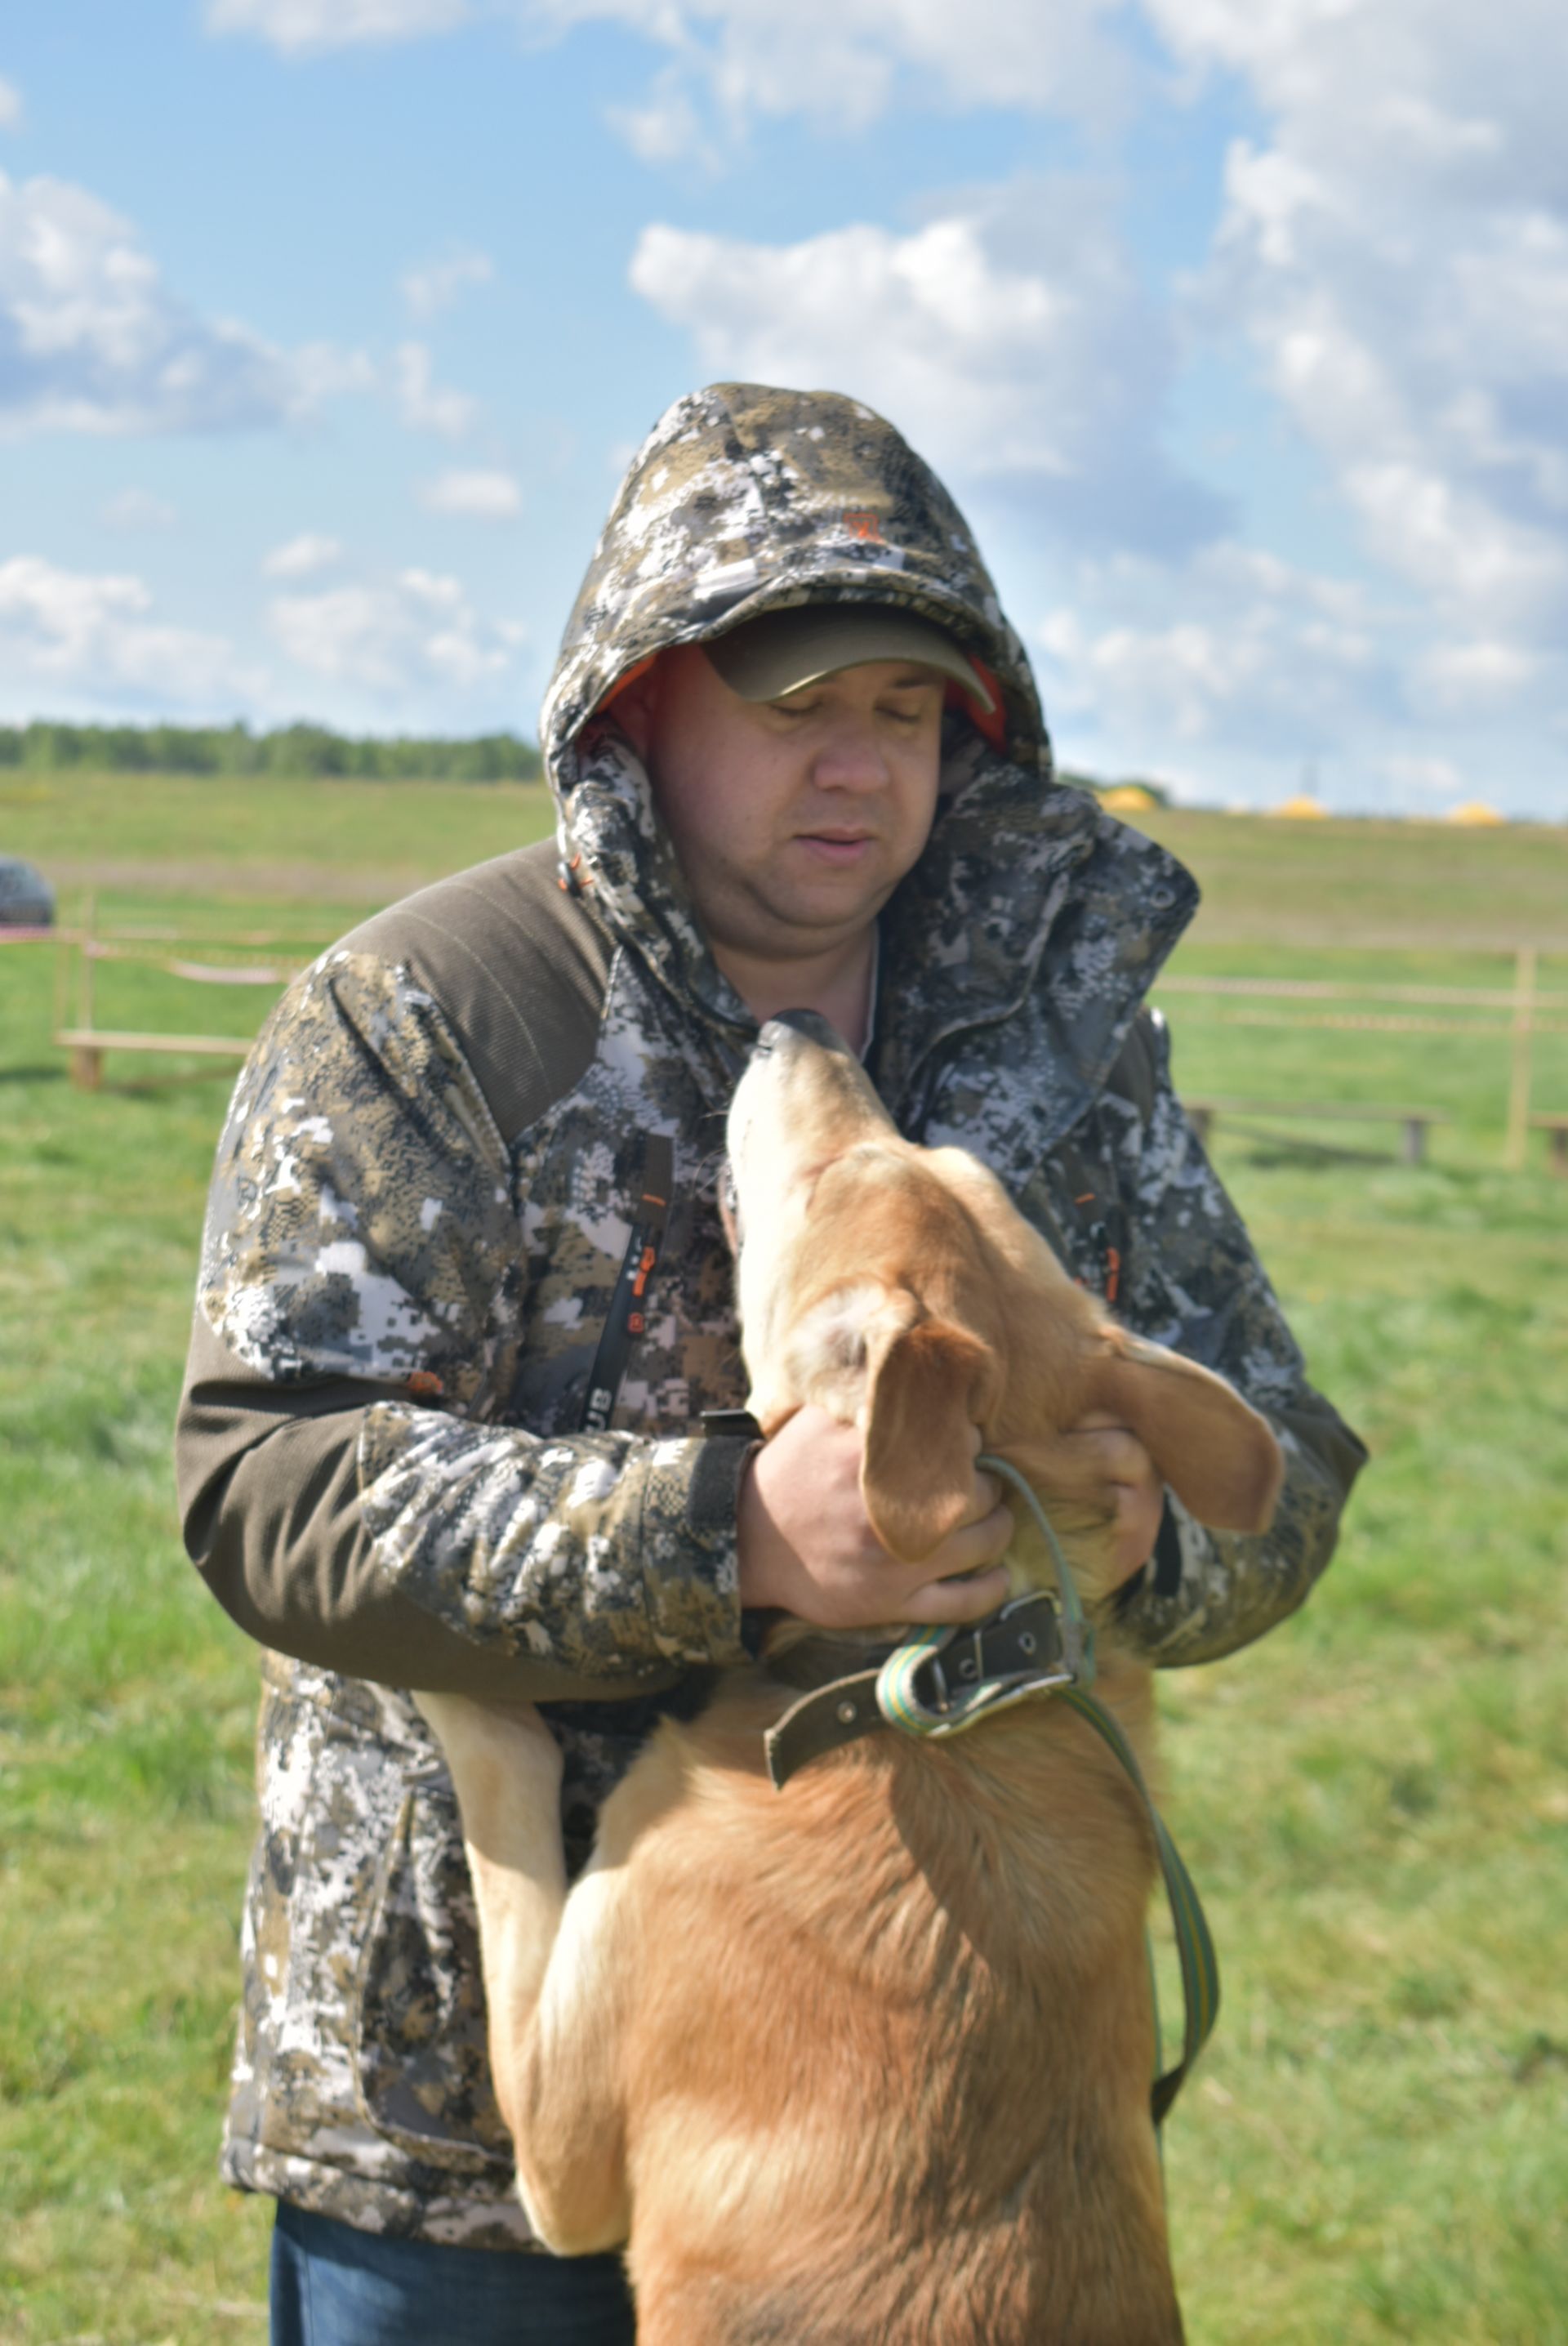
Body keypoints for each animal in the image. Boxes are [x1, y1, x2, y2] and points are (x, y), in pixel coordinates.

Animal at [419, 1018, 1284, 2336]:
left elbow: (503, 1810)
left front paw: (438, 1683)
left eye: (830, 1180)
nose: (800, 1027)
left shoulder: (564, 2149)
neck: (929, 1683)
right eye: (934, 1152)